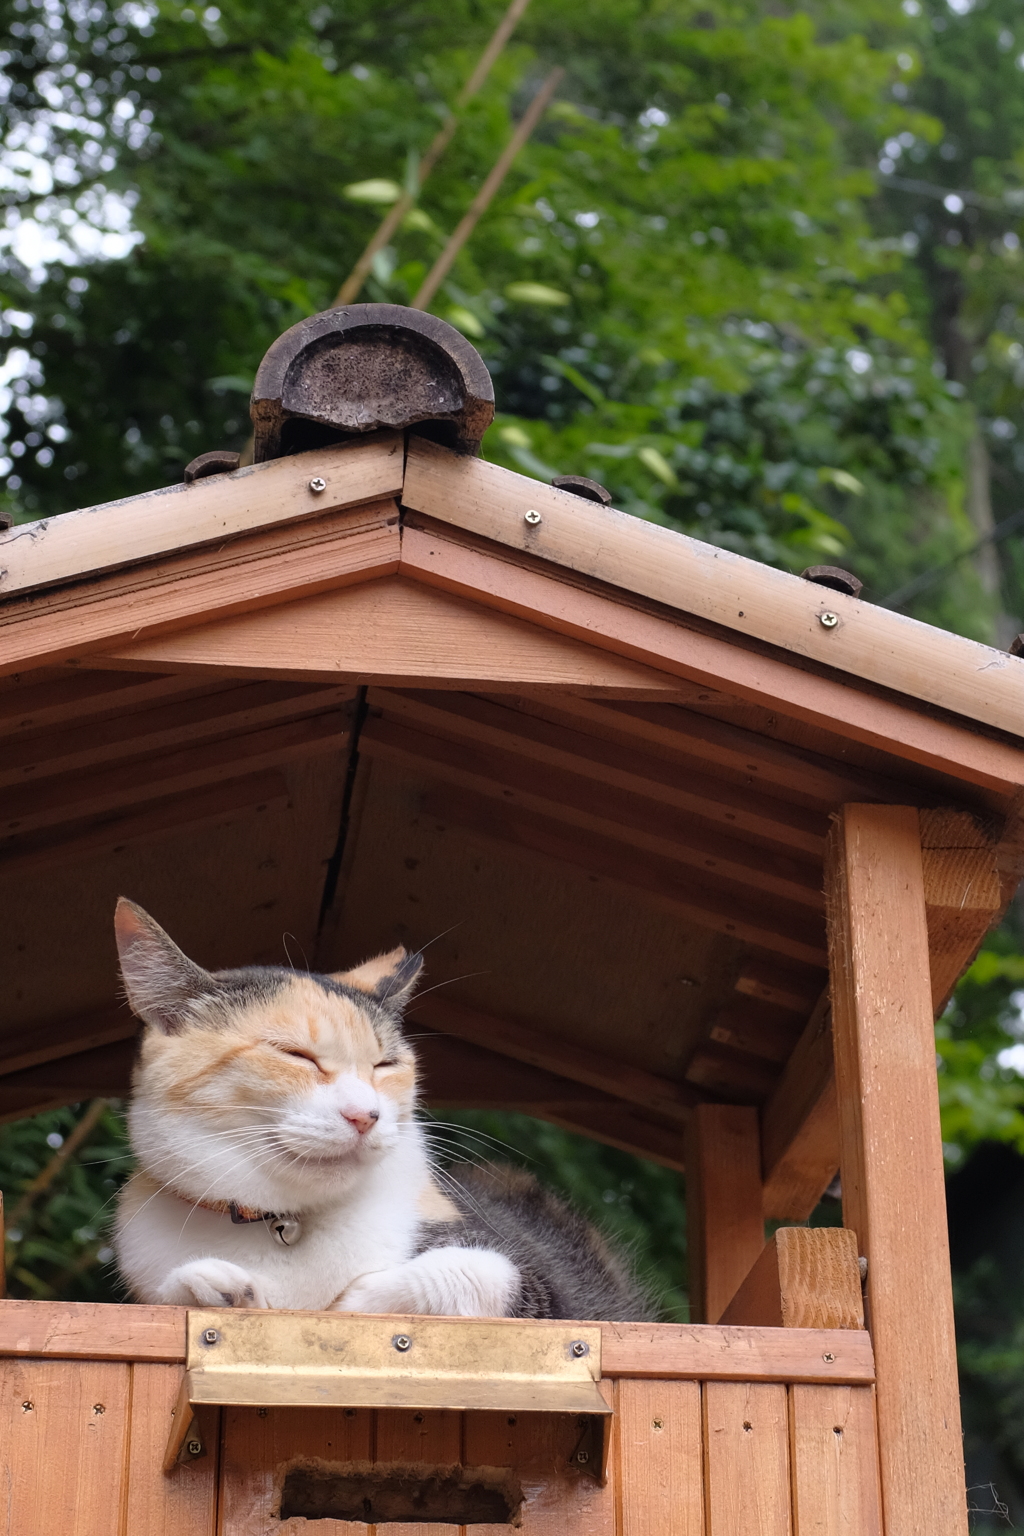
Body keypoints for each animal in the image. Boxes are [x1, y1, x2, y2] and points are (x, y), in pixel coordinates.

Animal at [114, 897, 657, 1320]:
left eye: (386, 1064)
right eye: (296, 1055)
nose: (366, 1115)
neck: (288, 1223)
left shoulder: (550, 1293)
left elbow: (471, 1270)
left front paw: (343, 1302)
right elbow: (171, 1294)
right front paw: (218, 1288)